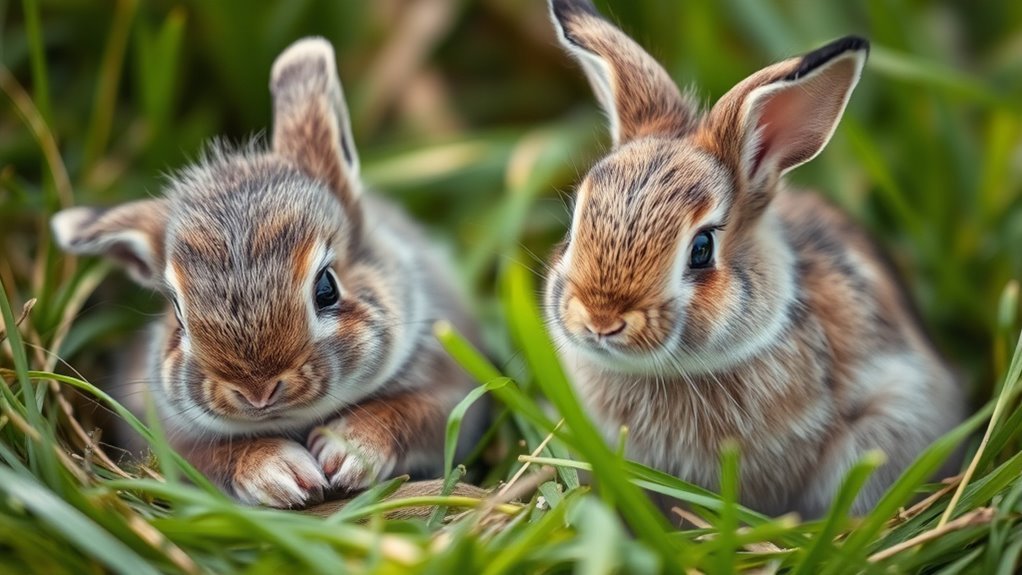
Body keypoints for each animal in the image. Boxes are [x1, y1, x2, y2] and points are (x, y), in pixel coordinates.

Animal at [50, 37, 484, 509]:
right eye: (178, 316)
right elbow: (208, 458)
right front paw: (279, 472)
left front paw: (348, 449)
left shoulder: (450, 389)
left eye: (327, 288)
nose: (257, 391)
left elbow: (416, 414)